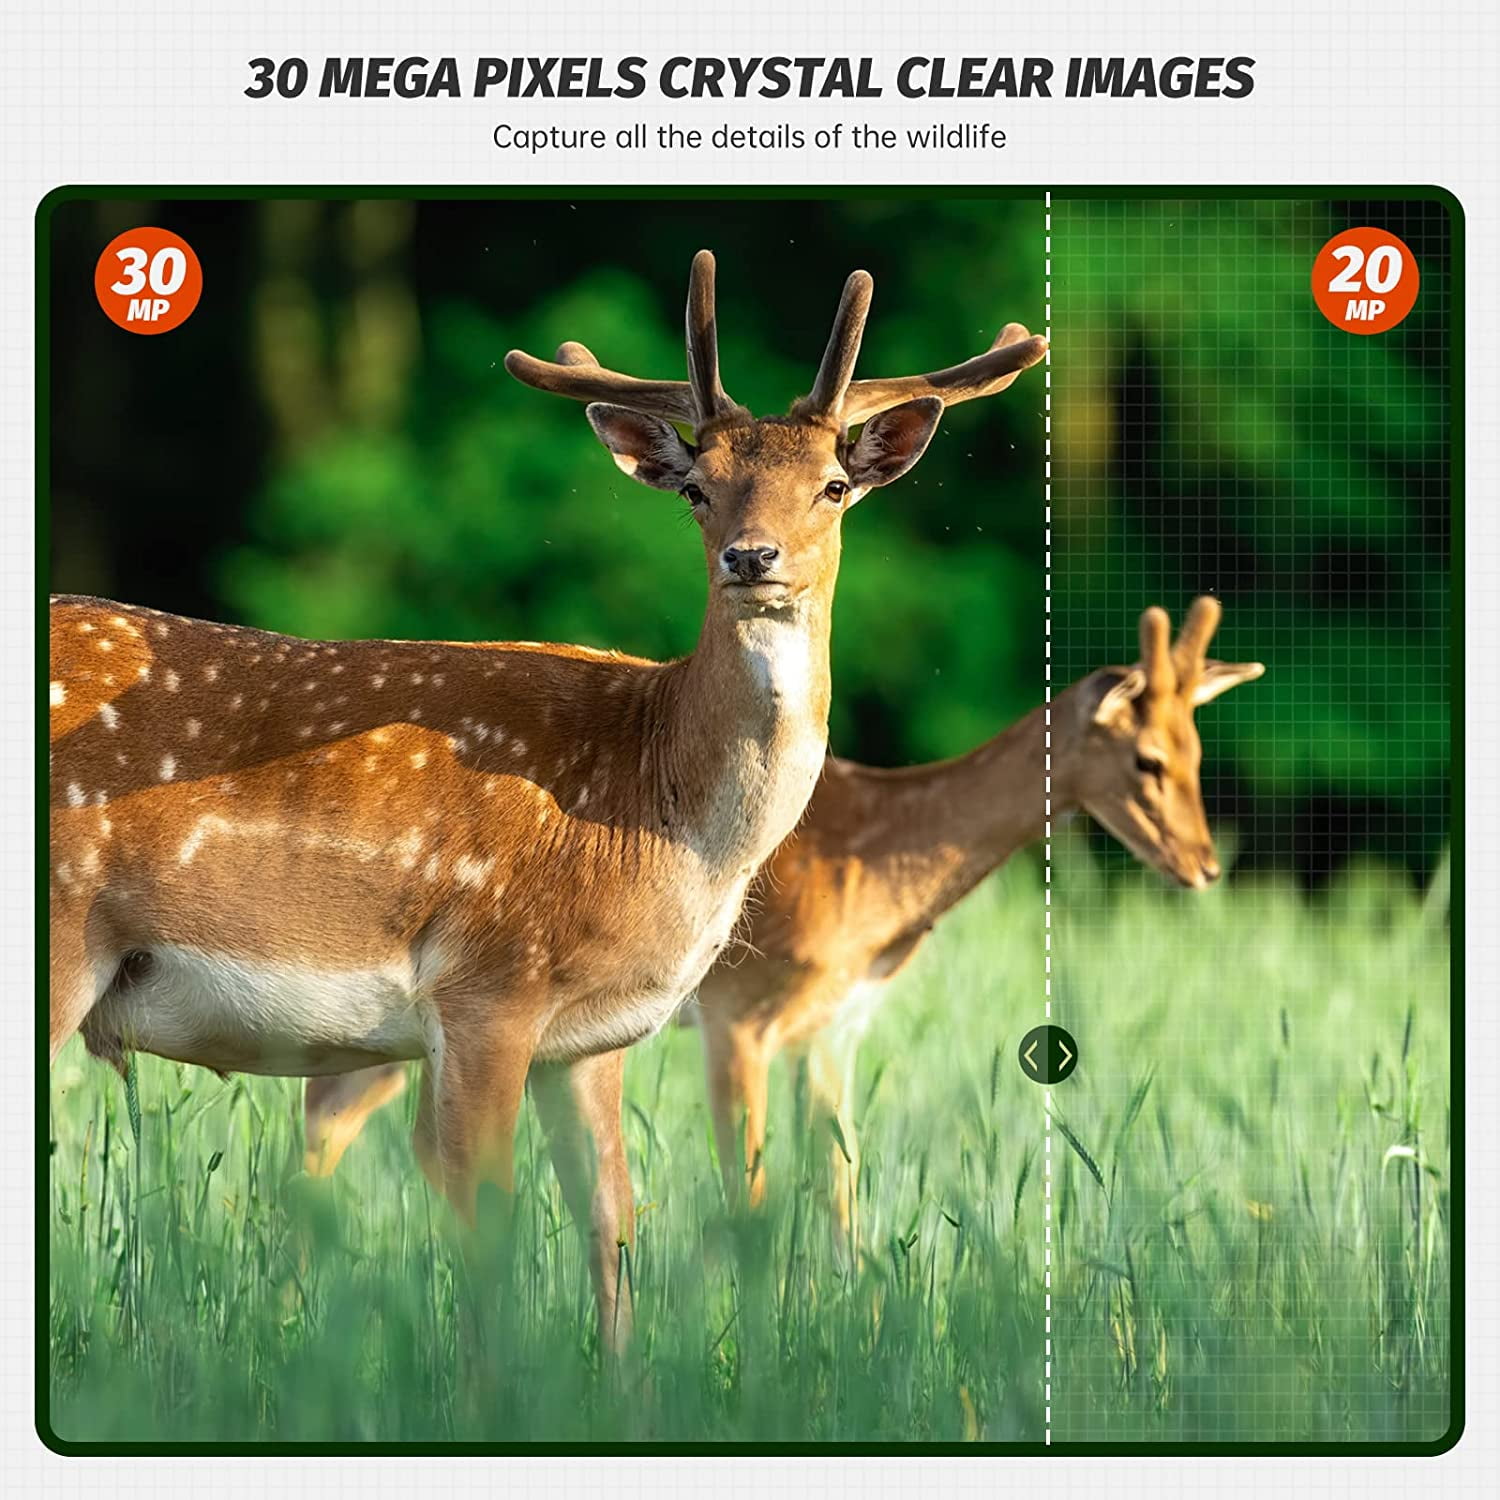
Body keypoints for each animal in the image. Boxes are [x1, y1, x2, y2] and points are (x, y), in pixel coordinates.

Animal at [49, 250, 1046, 1348]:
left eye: (833, 486)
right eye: (698, 488)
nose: (752, 558)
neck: (655, 813)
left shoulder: (591, 1037)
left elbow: (612, 1229)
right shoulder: (487, 986)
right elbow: (491, 1235)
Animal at [300, 599, 1261, 1260]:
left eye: (1199, 749)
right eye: (1148, 760)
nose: (1205, 866)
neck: (874, 864)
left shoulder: (836, 1025)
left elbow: (842, 1192)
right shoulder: (738, 1007)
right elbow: (749, 1194)